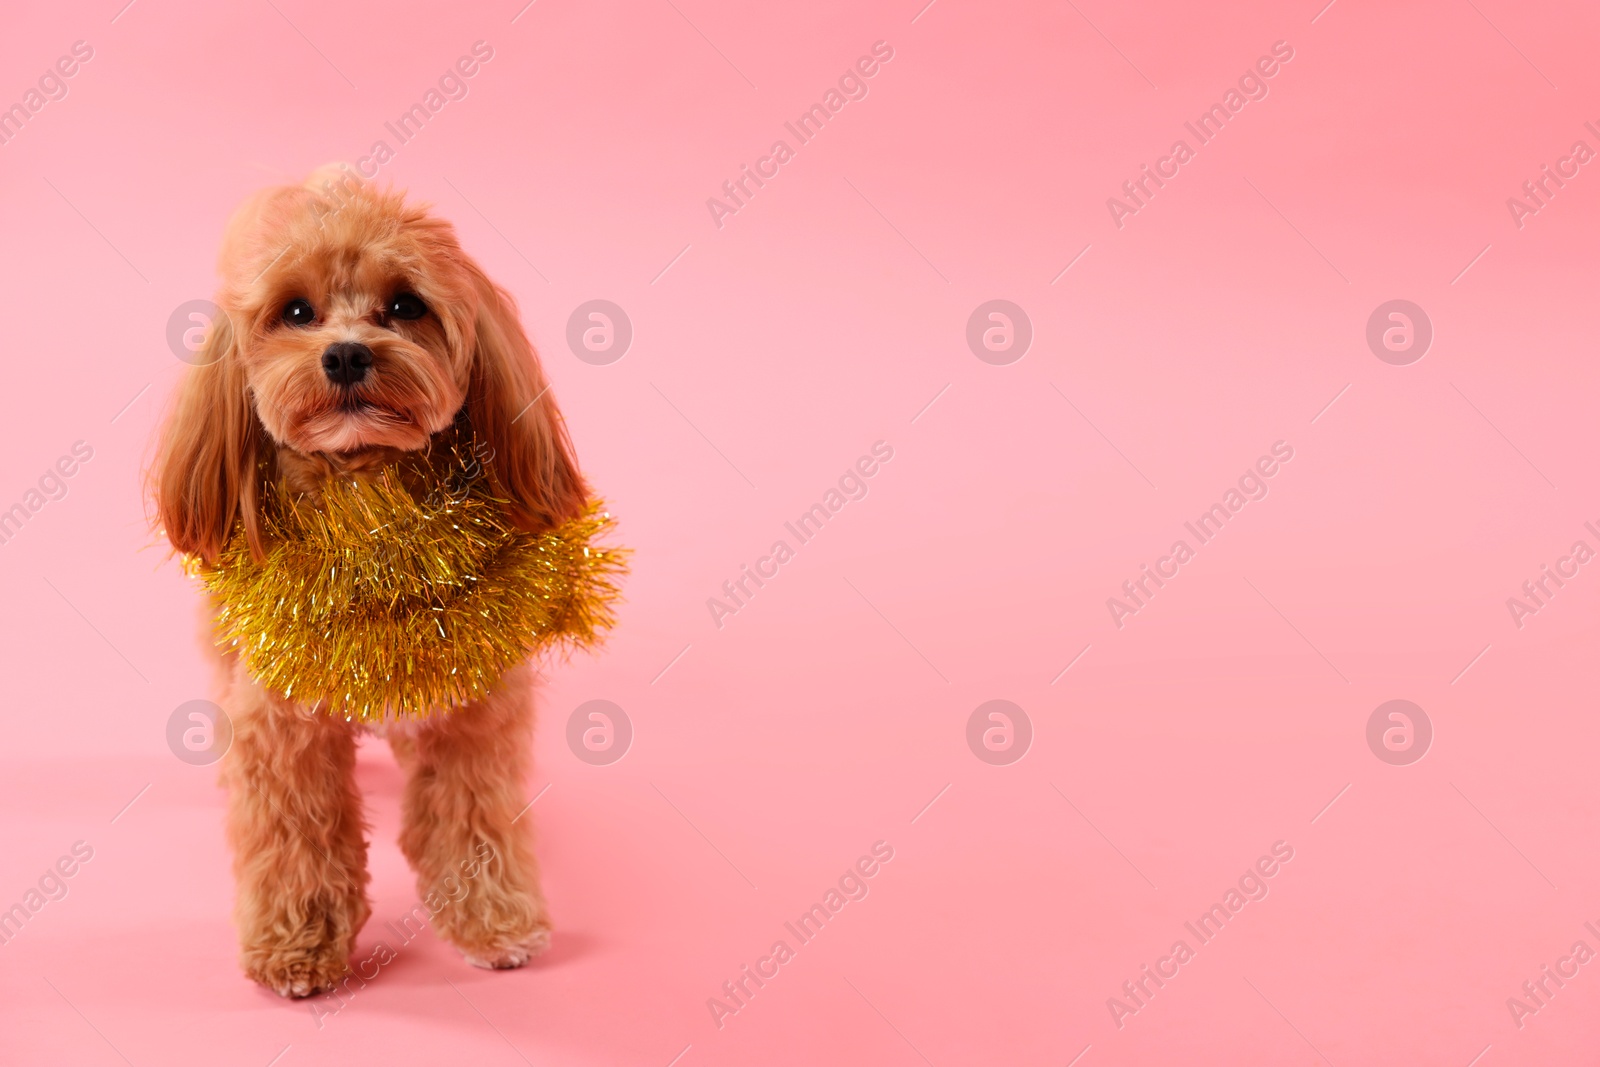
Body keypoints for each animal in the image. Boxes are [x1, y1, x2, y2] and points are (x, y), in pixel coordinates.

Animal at [148, 164, 588, 991]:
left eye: (405, 305)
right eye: (296, 311)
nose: (347, 354)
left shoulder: (474, 713)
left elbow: (474, 816)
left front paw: (494, 919)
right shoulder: (282, 726)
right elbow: (296, 838)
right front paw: (296, 944)